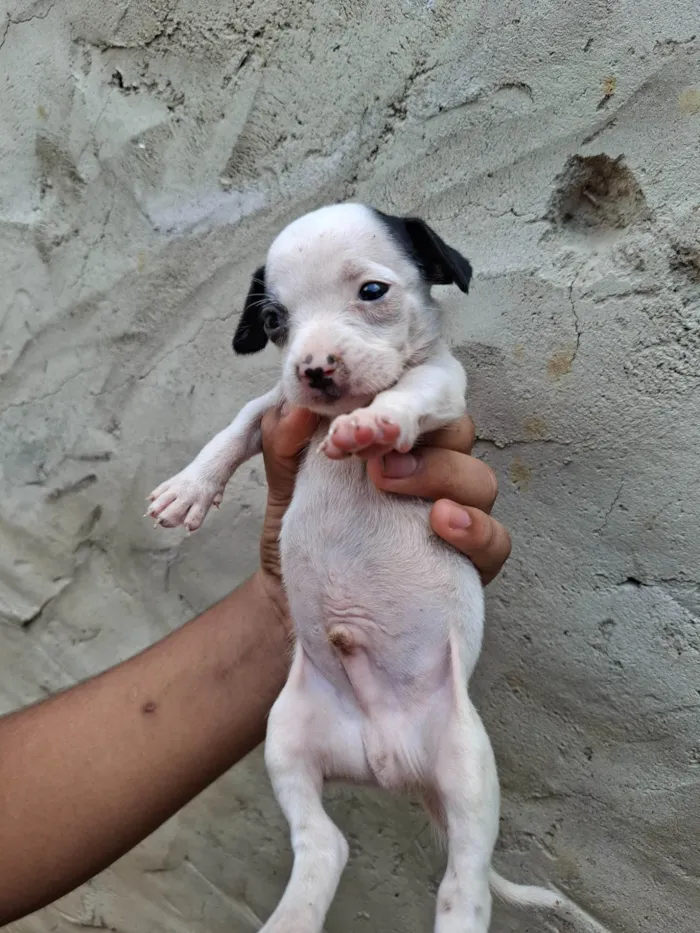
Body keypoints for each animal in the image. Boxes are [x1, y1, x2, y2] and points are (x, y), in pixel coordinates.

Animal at [149, 206, 608, 932]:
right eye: (274, 320)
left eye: (371, 292)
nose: (313, 367)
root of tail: (390, 761)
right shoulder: (279, 403)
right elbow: (238, 421)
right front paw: (188, 487)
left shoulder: (444, 385)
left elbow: (412, 389)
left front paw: (374, 423)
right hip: (285, 737)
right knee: (326, 844)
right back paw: (292, 917)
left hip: (469, 770)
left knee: (464, 885)